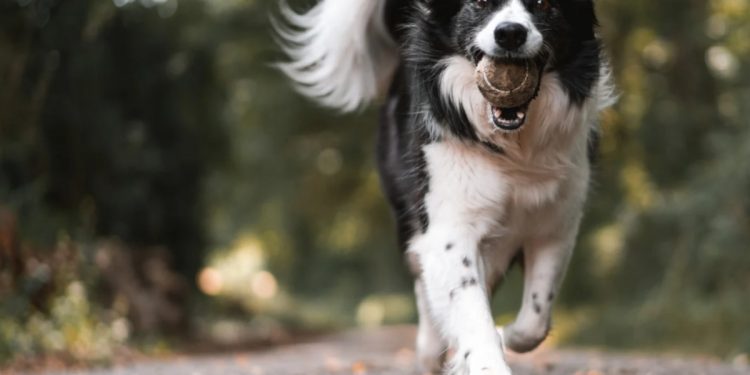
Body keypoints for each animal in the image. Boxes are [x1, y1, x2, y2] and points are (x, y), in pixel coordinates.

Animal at [276, 1, 616, 374]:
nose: (510, 33)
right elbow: (468, 308)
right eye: (479, 4)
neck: (513, 147)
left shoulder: (555, 225)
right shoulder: (449, 226)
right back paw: (430, 351)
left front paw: (506, 335)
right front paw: (486, 361)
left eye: (543, 5)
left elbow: (534, 319)